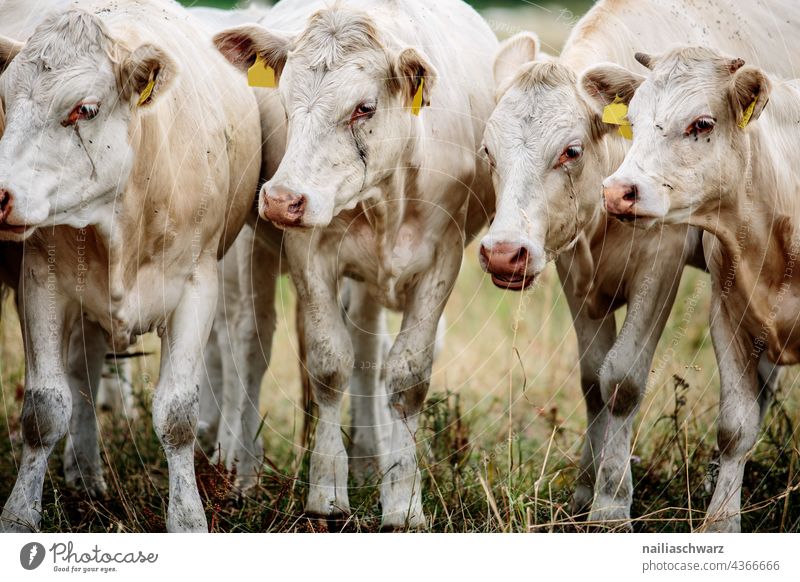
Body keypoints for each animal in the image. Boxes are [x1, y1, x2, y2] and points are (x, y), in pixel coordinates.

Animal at [0, 0, 260, 532]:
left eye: (84, 109)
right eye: (4, 101)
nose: (1, 195)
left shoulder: (198, 286)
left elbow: (178, 416)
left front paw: (187, 518)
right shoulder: (41, 282)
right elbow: (43, 409)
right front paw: (19, 515)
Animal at [592, 48, 796, 532]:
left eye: (702, 123)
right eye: (631, 119)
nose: (617, 192)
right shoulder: (729, 316)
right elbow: (736, 429)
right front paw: (721, 522)